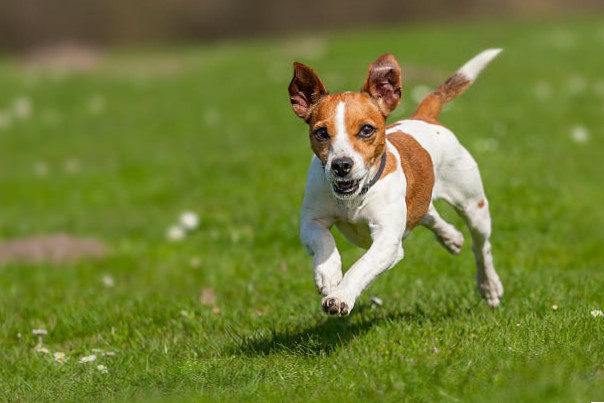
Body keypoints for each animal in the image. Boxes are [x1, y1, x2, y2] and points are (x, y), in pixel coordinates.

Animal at [288, 49, 504, 318]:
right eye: (321, 133)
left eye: (366, 130)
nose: (341, 165)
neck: (354, 199)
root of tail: (424, 117)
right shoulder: (311, 221)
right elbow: (323, 241)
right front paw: (327, 273)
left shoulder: (387, 241)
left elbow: (362, 266)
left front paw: (340, 296)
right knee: (430, 213)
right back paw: (451, 237)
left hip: (473, 206)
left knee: (481, 248)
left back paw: (489, 286)